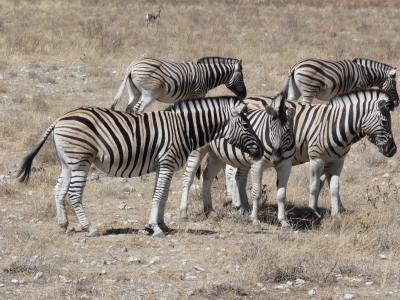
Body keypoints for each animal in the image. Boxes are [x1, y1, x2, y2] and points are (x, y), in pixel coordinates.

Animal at [18, 97, 264, 238]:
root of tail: (60, 118)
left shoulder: (163, 165)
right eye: (245, 125)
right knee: (74, 193)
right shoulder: (166, 162)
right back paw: (90, 228)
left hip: (68, 162)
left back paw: (64, 224)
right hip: (80, 160)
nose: (261, 151)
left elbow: (162, 195)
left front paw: (161, 224)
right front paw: (155, 228)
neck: (184, 129)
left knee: (59, 189)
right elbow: (158, 195)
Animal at [110, 56, 247, 113]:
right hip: (150, 93)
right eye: (241, 77)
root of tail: (133, 65)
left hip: (134, 91)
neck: (207, 76)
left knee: (129, 107)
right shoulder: (197, 94)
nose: (245, 95)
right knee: (138, 108)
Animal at [212, 89, 396, 227]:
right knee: (231, 171)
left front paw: (337, 213)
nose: (393, 150)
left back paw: (243, 206)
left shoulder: (337, 161)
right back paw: (234, 202)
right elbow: (315, 185)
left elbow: (333, 187)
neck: (335, 124)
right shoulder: (318, 158)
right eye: (385, 122)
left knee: (240, 176)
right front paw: (313, 211)